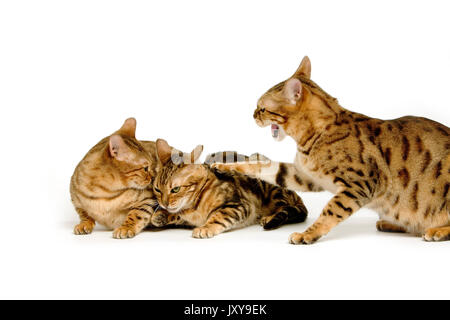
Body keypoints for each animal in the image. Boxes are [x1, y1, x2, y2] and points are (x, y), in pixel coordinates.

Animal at [149, 139, 308, 239]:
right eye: (157, 189)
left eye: (175, 189)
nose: (164, 204)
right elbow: (178, 217)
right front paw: (161, 215)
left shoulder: (239, 205)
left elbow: (219, 216)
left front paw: (205, 228)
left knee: (288, 207)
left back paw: (268, 217)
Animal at [212, 56, 450, 244]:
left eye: (262, 108)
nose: (252, 115)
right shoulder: (304, 175)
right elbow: (264, 167)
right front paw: (224, 165)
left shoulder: (359, 185)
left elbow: (331, 210)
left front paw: (308, 234)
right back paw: (393, 224)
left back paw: (435, 231)